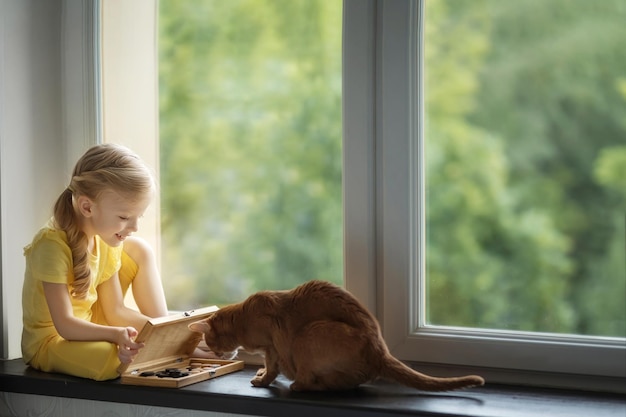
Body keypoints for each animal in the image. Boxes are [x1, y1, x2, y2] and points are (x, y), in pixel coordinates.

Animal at [188, 280, 486, 390]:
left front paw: (262, 380)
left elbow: (271, 368)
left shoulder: (273, 344)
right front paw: (261, 374)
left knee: (316, 381)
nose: (219, 356)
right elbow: (270, 367)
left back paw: (300, 385)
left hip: (308, 334)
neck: (244, 316)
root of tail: (381, 352)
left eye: (211, 344)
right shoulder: (272, 349)